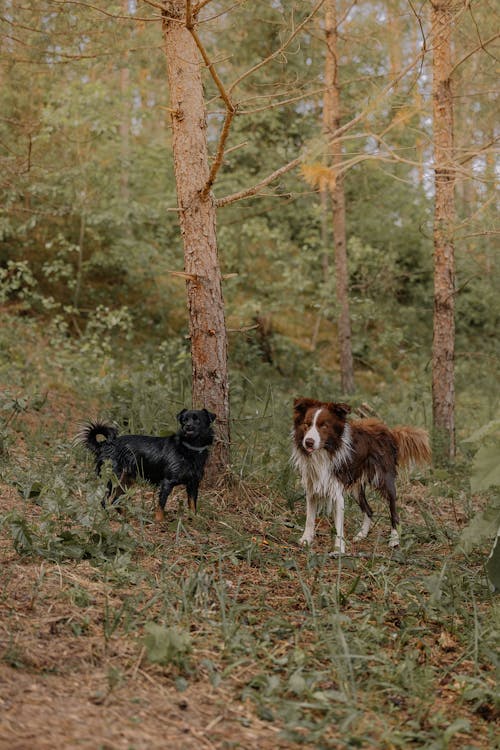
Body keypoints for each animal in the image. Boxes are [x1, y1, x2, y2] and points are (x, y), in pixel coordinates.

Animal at [76, 412, 215, 524]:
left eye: (197, 420)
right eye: (184, 420)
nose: (187, 426)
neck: (190, 448)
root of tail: (104, 445)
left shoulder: (193, 484)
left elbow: (192, 505)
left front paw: (194, 521)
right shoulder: (167, 482)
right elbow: (161, 505)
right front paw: (159, 522)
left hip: (126, 481)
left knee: (116, 500)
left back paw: (125, 518)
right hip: (114, 479)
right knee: (105, 500)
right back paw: (108, 518)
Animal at [292, 400, 430, 552]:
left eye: (324, 426)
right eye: (306, 424)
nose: (308, 442)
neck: (324, 452)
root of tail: (388, 430)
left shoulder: (337, 492)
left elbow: (339, 525)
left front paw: (338, 549)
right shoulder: (312, 488)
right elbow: (309, 519)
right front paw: (306, 539)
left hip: (384, 480)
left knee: (394, 510)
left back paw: (394, 540)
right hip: (356, 488)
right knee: (369, 510)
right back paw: (362, 535)